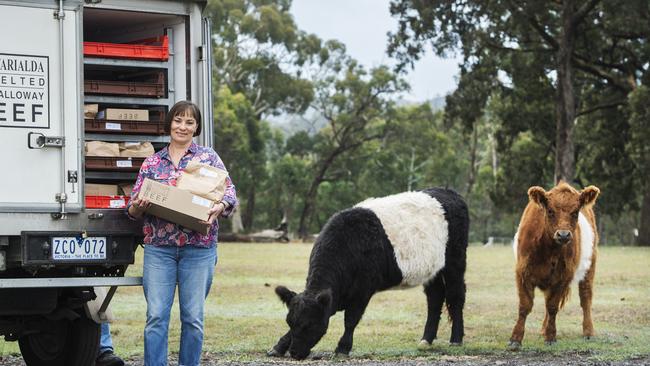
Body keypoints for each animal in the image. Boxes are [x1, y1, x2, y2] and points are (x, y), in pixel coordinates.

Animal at [268, 189, 466, 360]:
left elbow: (351, 320)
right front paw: (278, 347)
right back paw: (426, 340)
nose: (295, 353)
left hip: (455, 261)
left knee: (456, 296)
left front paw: (342, 348)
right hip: (433, 269)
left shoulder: (362, 290)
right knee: (435, 297)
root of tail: (448, 192)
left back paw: (456, 339)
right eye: (289, 322)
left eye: (309, 325)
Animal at [506, 182, 596, 350]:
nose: (563, 235)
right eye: (550, 211)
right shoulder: (522, 272)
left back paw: (588, 332)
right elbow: (525, 306)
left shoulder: (563, 277)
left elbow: (553, 306)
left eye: (575, 212)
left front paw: (551, 337)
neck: (549, 250)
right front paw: (516, 338)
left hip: (589, 267)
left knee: (585, 297)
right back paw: (543, 329)